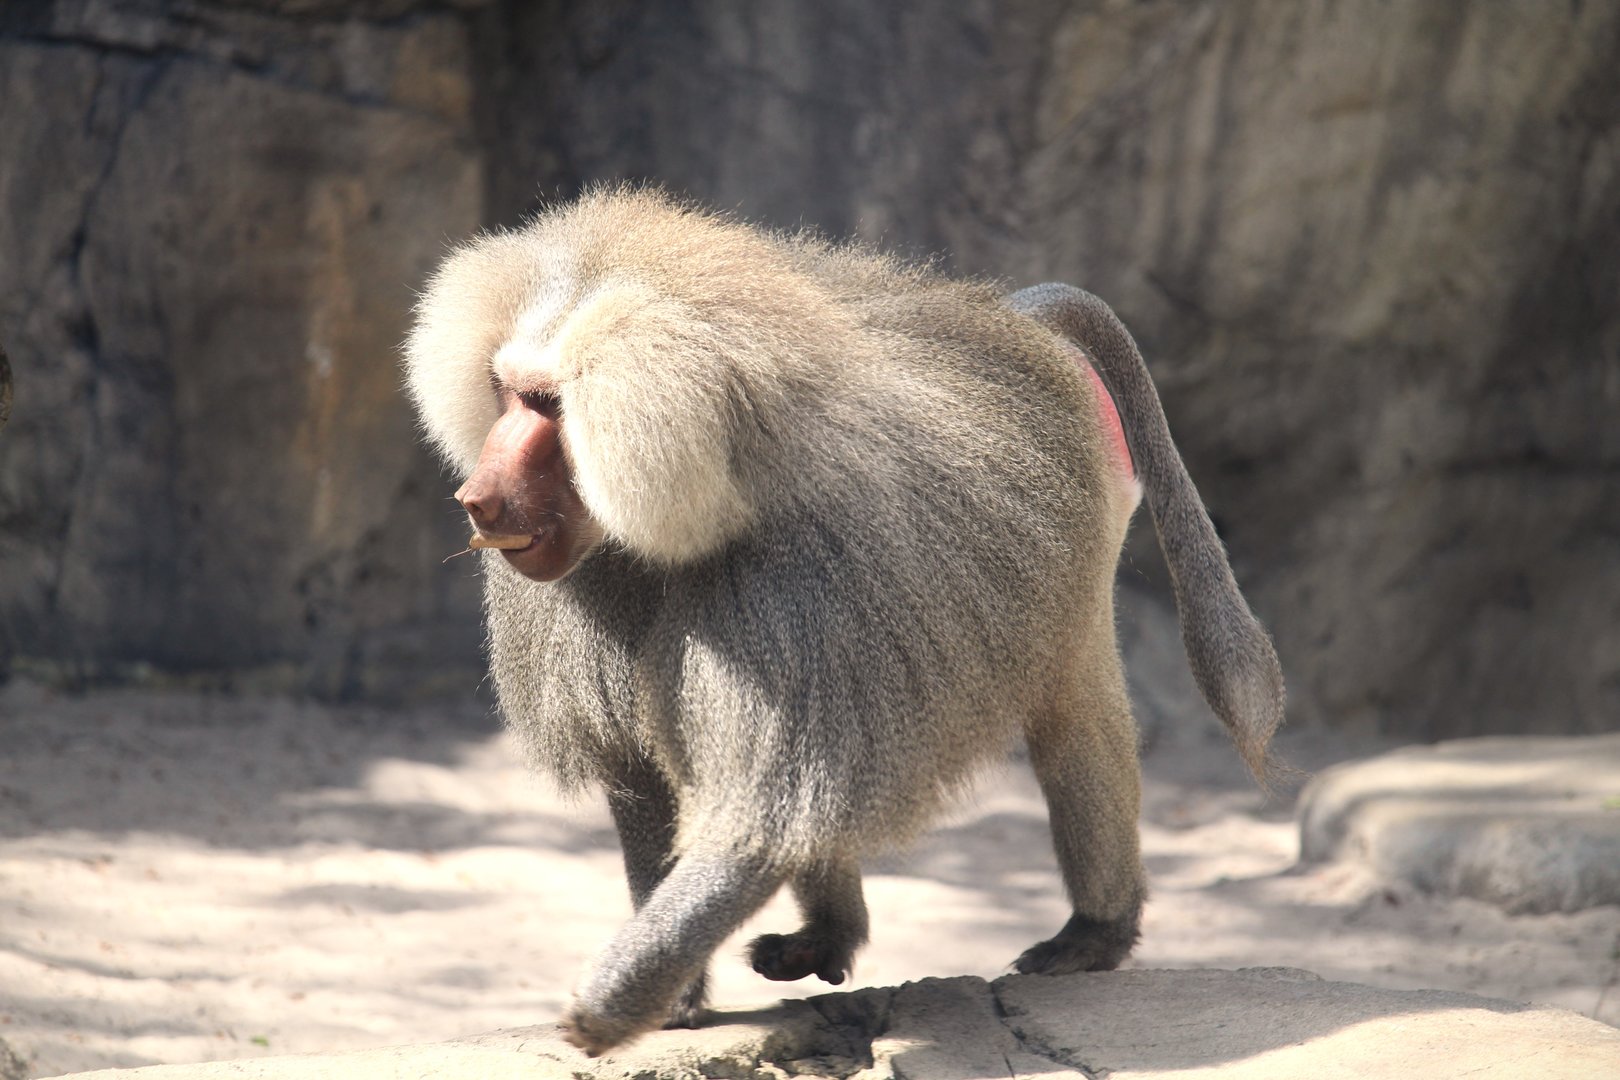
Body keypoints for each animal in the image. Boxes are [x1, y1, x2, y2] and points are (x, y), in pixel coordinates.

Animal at [403, 188, 1284, 1056]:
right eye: (507, 390)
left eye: (548, 403)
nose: (477, 500)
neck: (715, 487)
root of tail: (1018, 327)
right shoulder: (588, 583)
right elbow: (648, 778)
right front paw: (675, 997)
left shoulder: (791, 584)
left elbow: (757, 823)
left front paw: (610, 1003)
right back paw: (829, 938)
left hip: (1082, 526)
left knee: (1069, 715)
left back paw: (1096, 933)